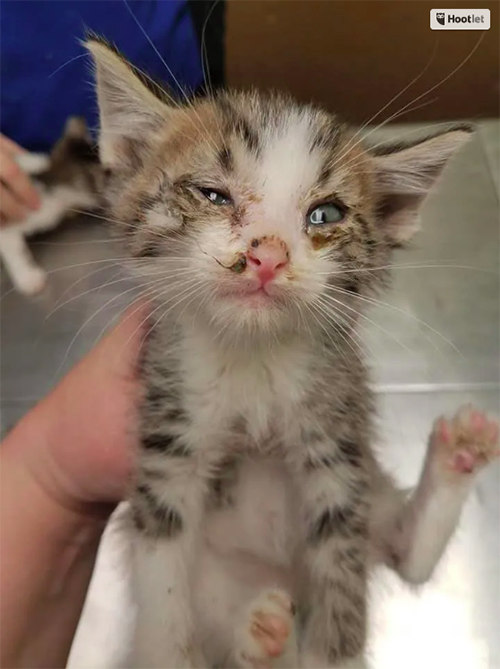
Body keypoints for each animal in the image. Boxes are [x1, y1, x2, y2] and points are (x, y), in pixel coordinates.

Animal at [87, 40, 500, 668]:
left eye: (324, 215)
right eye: (213, 194)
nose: (268, 256)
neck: (252, 358)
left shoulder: (337, 435)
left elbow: (343, 570)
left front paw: (337, 651)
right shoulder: (169, 428)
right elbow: (160, 565)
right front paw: (165, 652)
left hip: (369, 480)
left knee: (403, 554)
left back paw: (459, 452)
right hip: (217, 581)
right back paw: (261, 634)